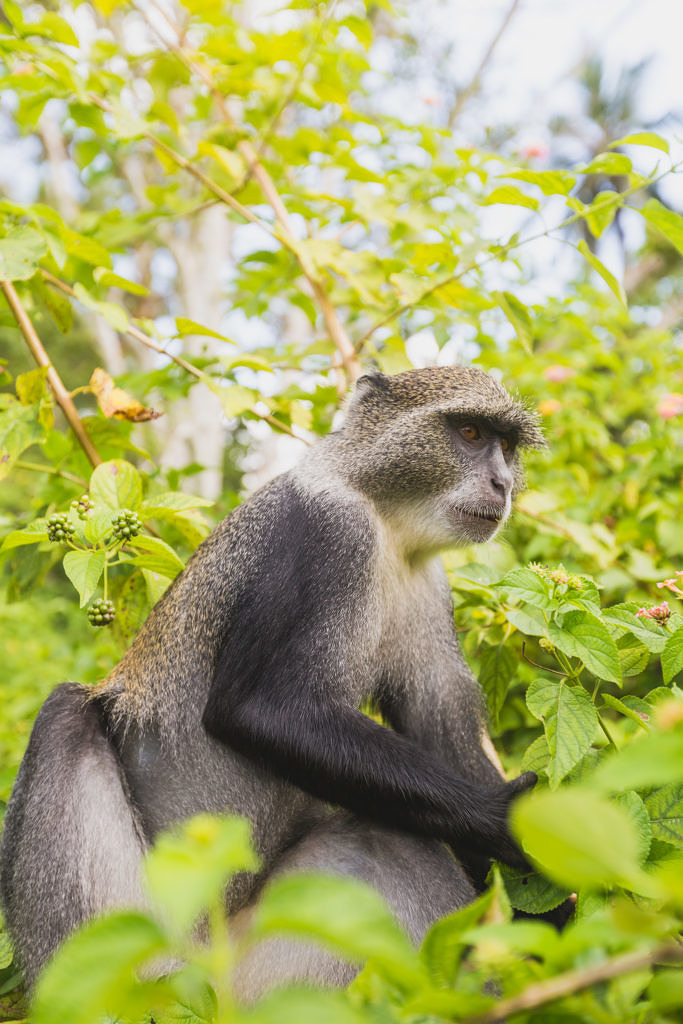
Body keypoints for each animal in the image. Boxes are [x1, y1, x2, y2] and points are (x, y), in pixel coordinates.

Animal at [0, 366, 544, 993]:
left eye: (507, 446)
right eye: (471, 432)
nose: (502, 484)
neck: (385, 518)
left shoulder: (428, 585)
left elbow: (439, 723)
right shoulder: (326, 535)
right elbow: (263, 710)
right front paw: (504, 820)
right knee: (65, 712)